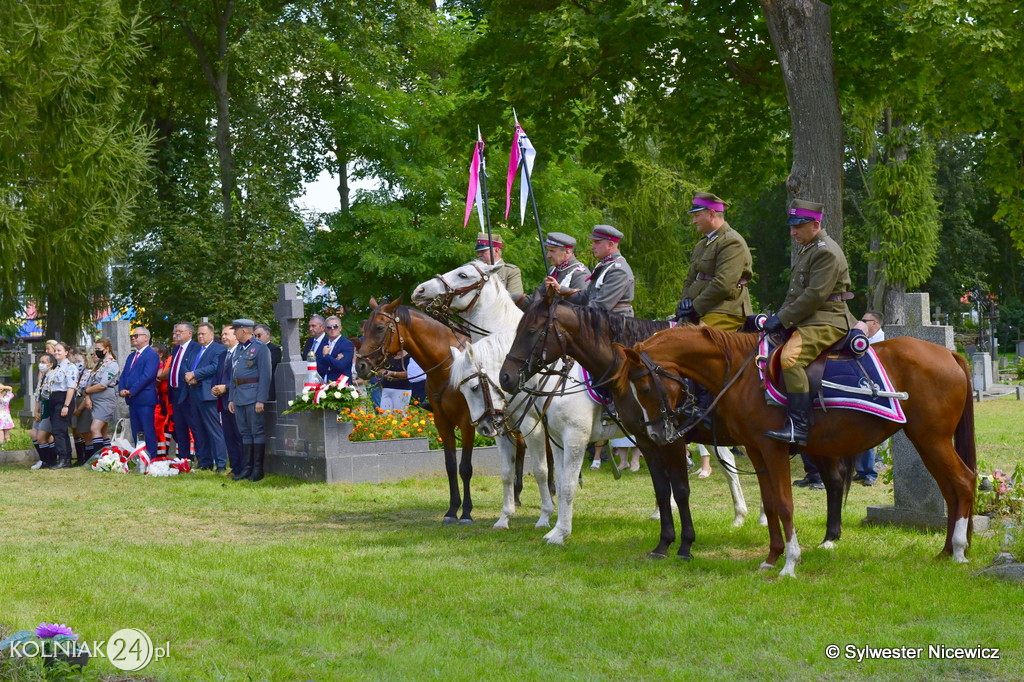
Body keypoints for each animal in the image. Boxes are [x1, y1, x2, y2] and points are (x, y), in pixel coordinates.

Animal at [356, 301, 536, 522]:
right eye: (365, 327)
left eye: (380, 327)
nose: (360, 366)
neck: (447, 368)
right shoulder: (442, 422)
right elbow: (450, 466)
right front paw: (452, 510)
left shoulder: (468, 422)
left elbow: (465, 467)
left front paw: (466, 512)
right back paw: (517, 495)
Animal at [614, 323, 974, 573]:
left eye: (643, 387)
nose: (655, 432)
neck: (744, 374)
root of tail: (950, 353)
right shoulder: (756, 451)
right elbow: (772, 504)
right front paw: (772, 558)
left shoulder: (773, 449)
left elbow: (785, 504)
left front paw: (789, 563)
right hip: (926, 442)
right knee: (951, 491)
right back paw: (945, 551)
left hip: (932, 440)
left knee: (964, 483)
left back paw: (958, 550)